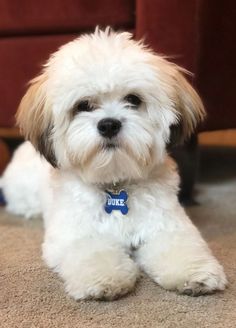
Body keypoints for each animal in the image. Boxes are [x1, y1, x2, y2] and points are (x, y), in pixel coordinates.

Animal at [0, 28, 228, 300]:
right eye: (83, 105)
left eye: (133, 99)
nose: (109, 124)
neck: (116, 184)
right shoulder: (75, 235)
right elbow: (93, 251)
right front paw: (103, 279)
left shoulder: (168, 226)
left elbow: (181, 245)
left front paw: (195, 273)